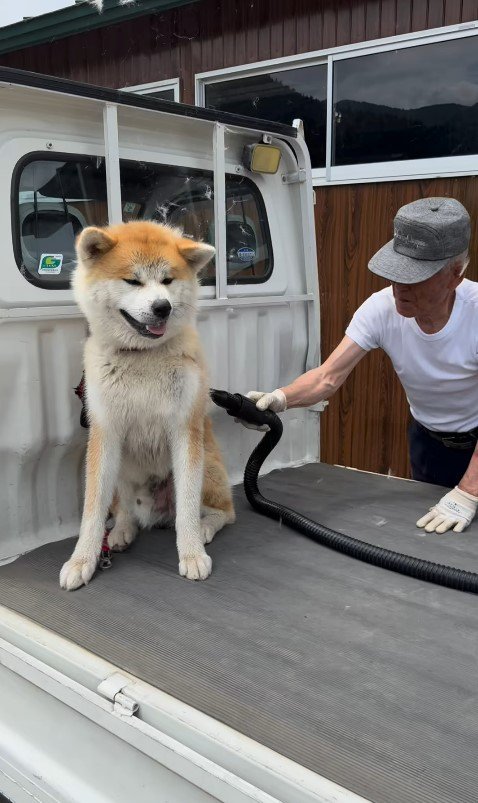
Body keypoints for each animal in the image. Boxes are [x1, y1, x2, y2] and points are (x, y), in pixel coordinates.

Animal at [59, 220, 235, 592]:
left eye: (167, 280)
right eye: (133, 281)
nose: (162, 307)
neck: (143, 356)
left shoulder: (185, 430)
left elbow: (187, 508)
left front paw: (192, 554)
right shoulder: (105, 433)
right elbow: (93, 511)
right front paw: (82, 560)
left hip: (209, 466)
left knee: (224, 512)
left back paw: (206, 527)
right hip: (123, 468)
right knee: (125, 509)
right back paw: (122, 530)